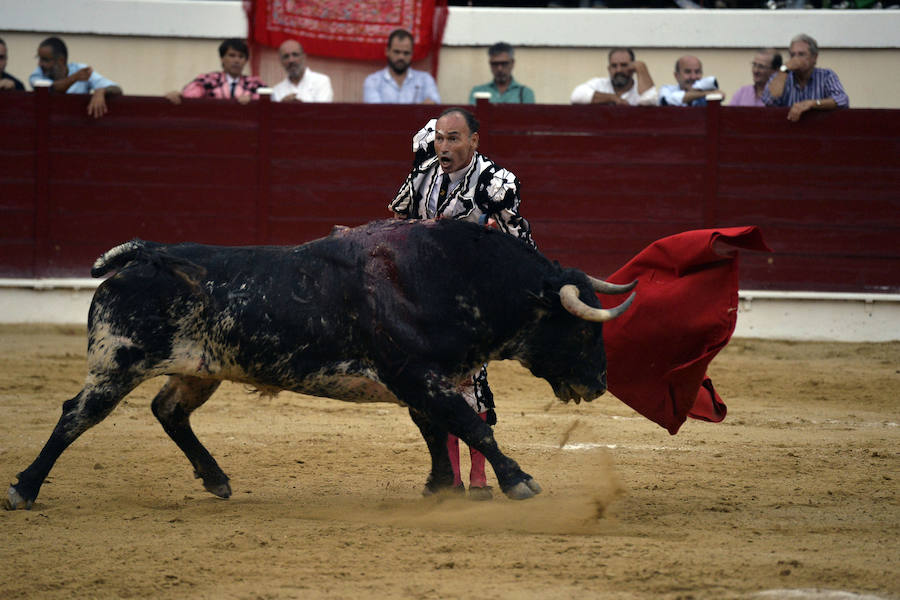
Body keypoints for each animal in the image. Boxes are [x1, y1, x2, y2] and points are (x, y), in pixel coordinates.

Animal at [3, 218, 632, 508]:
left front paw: (440, 489)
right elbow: (470, 425)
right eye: (581, 327)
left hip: (199, 368)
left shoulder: (418, 380)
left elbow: (437, 430)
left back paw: (217, 479)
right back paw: (25, 490)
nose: (599, 383)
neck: (449, 274)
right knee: (76, 415)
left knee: (169, 412)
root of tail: (142, 259)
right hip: (117, 364)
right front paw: (519, 480)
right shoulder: (416, 374)